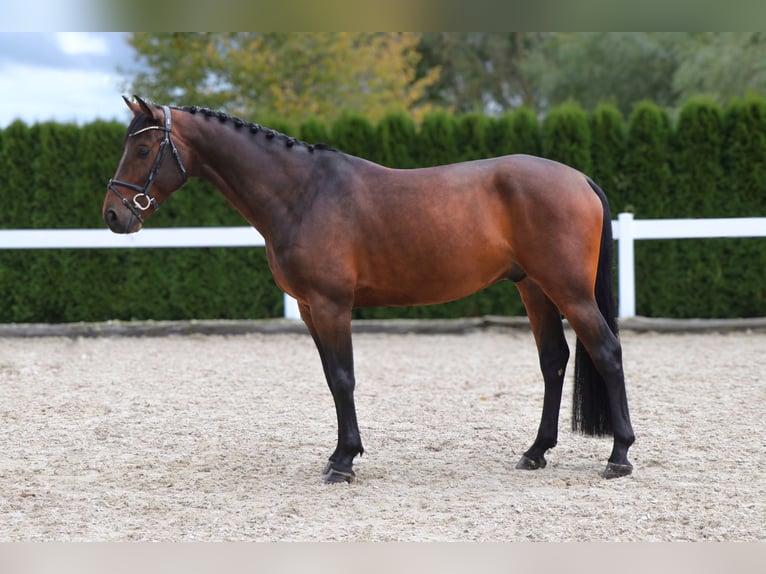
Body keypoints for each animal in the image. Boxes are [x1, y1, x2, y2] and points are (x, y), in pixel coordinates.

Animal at [105, 97, 640, 484]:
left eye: (144, 149)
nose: (113, 215)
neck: (302, 193)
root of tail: (579, 178)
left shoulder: (331, 305)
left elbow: (344, 378)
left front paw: (343, 462)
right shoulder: (308, 308)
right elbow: (331, 378)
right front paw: (340, 453)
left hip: (568, 290)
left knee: (607, 352)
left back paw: (619, 455)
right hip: (534, 289)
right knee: (554, 361)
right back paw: (535, 452)